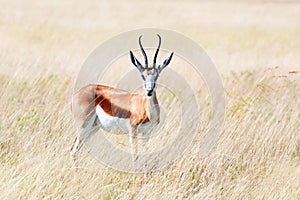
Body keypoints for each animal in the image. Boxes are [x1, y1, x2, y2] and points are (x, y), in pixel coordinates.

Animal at [70, 34, 173, 167]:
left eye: (157, 76)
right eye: (143, 76)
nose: (149, 91)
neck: (146, 109)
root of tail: (77, 93)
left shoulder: (146, 133)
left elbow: (145, 156)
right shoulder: (133, 130)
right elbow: (135, 156)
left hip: (93, 128)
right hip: (84, 125)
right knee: (73, 150)